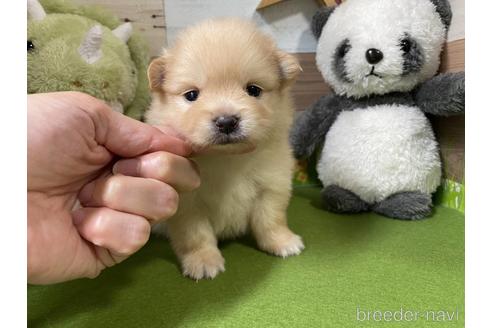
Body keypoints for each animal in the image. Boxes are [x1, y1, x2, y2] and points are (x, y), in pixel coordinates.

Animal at [145, 18, 304, 280]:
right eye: (192, 95)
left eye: (253, 90)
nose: (227, 121)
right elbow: (196, 235)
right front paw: (203, 261)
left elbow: (271, 220)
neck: (227, 158)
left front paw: (282, 242)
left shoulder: (271, 187)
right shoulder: (187, 203)